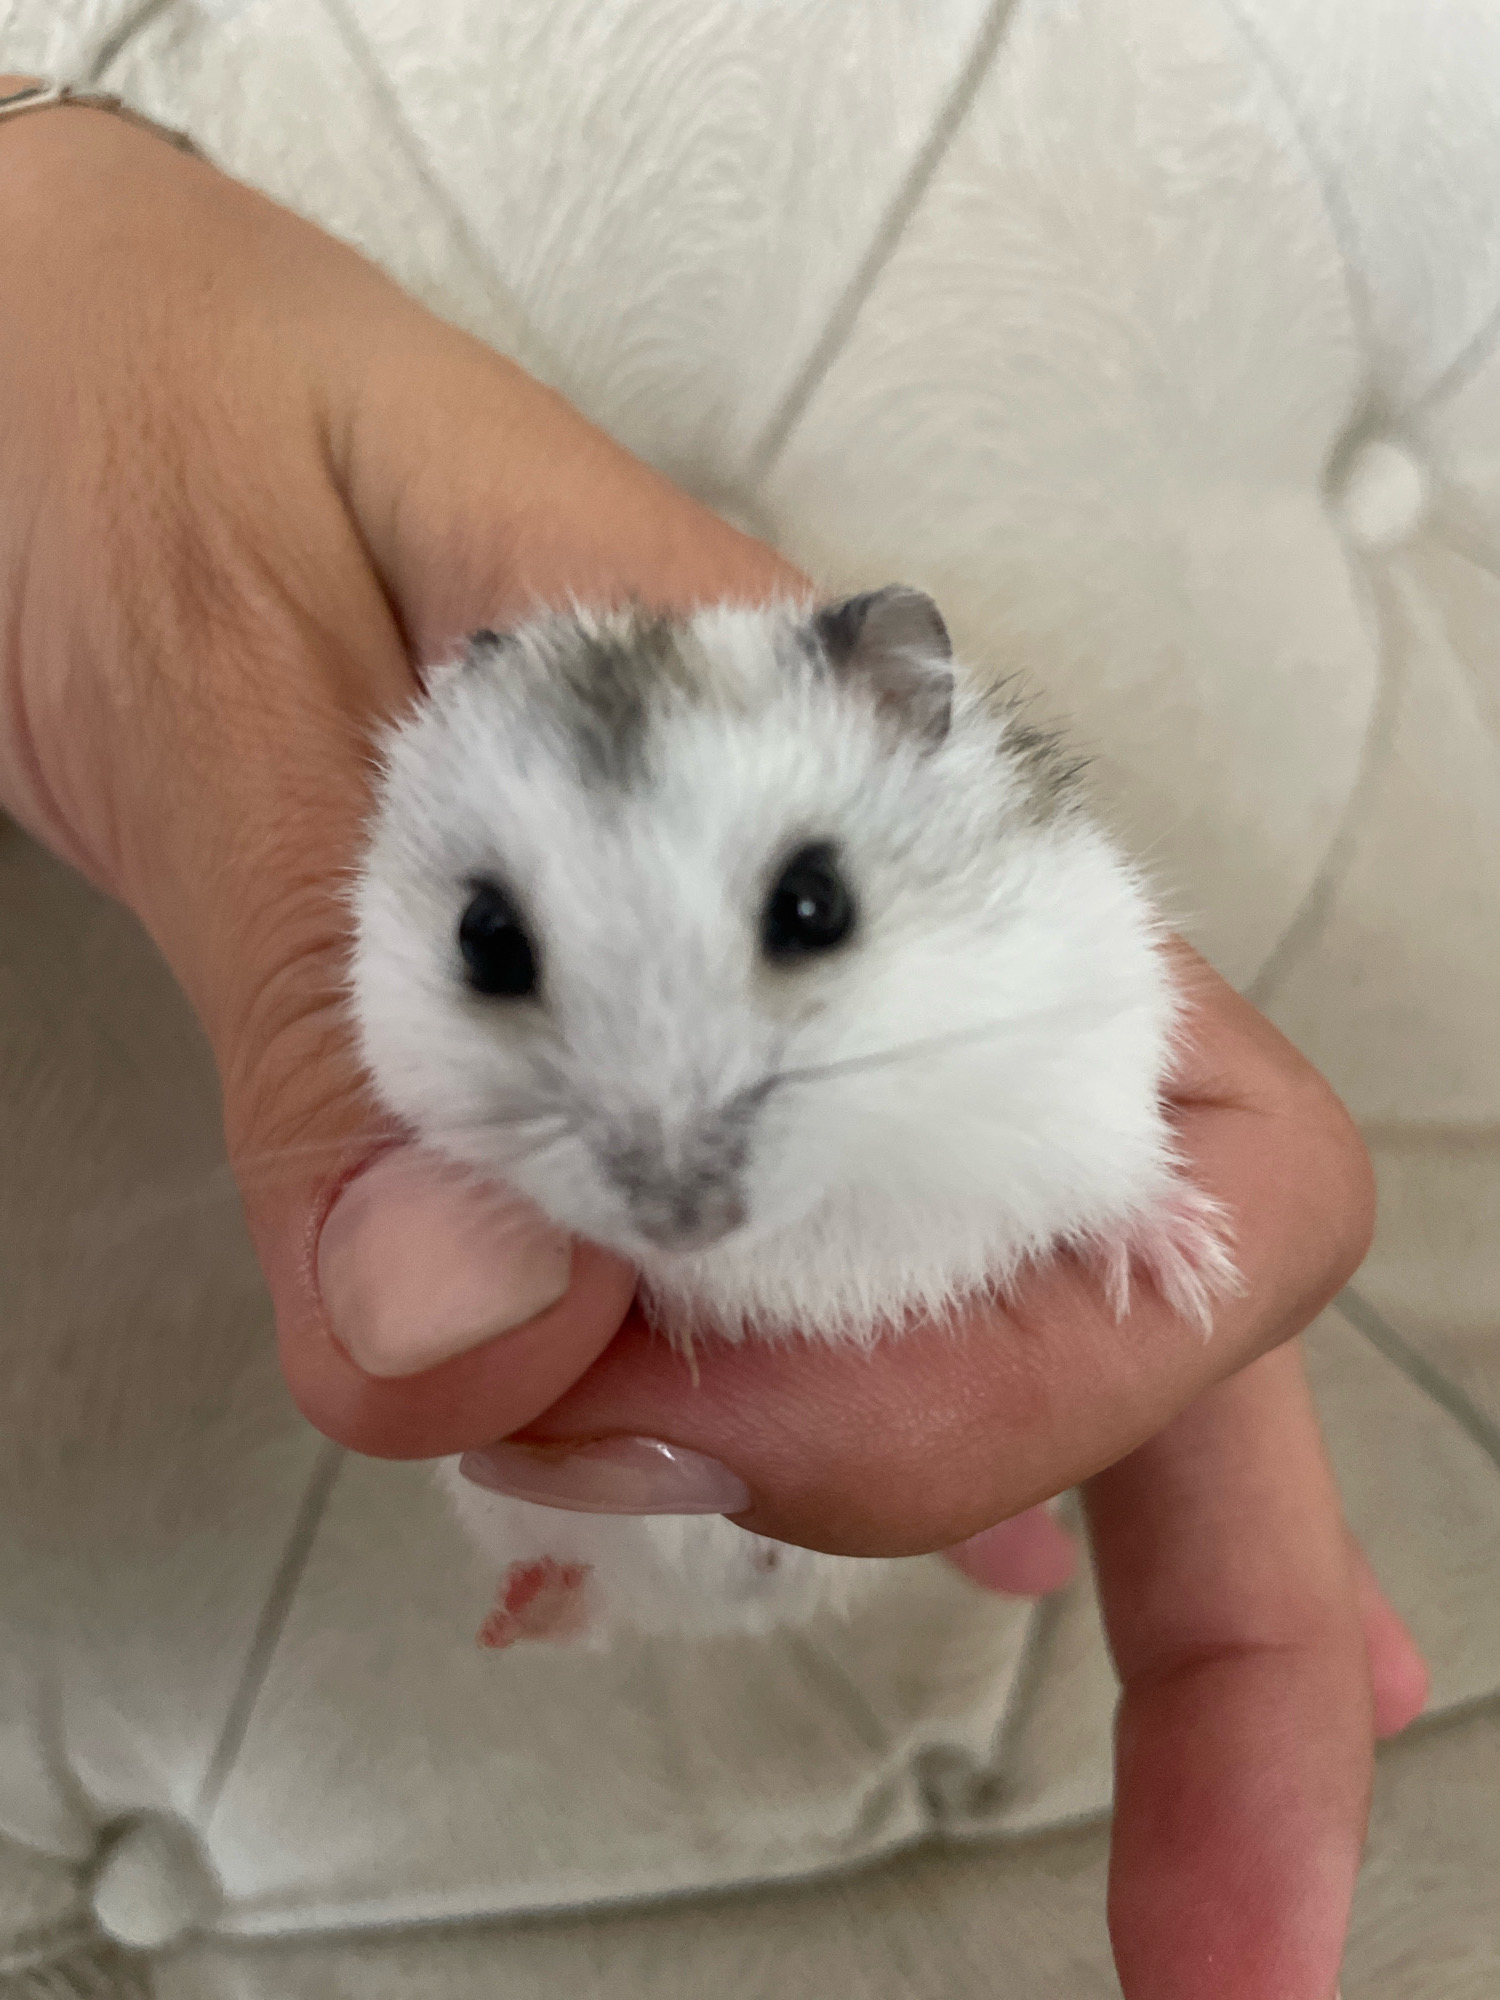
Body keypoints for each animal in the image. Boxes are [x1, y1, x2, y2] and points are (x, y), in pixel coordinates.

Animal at [351, 586, 1237, 1647]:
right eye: (483, 939)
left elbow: (1120, 1181)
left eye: (816, 903)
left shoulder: (1087, 1055)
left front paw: (1198, 1275)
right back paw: (516, 1617)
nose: (684, 1224)